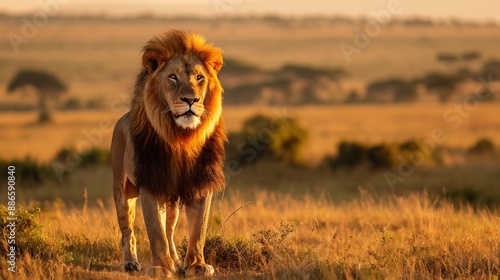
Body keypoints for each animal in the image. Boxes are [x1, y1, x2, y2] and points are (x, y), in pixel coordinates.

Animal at [111, 29, 227, 278]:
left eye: (199, 78)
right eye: (173, 77)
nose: (191, 100)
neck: (181, 139)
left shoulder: (200, 184)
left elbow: (198, 231)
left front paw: (196, 265)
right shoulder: (150, 184)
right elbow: (156, 233)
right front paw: (161, 268)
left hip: (172, 198)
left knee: (171, 229)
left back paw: (176, 260)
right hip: (122, 190)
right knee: (128, 231)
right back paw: (130, 262)